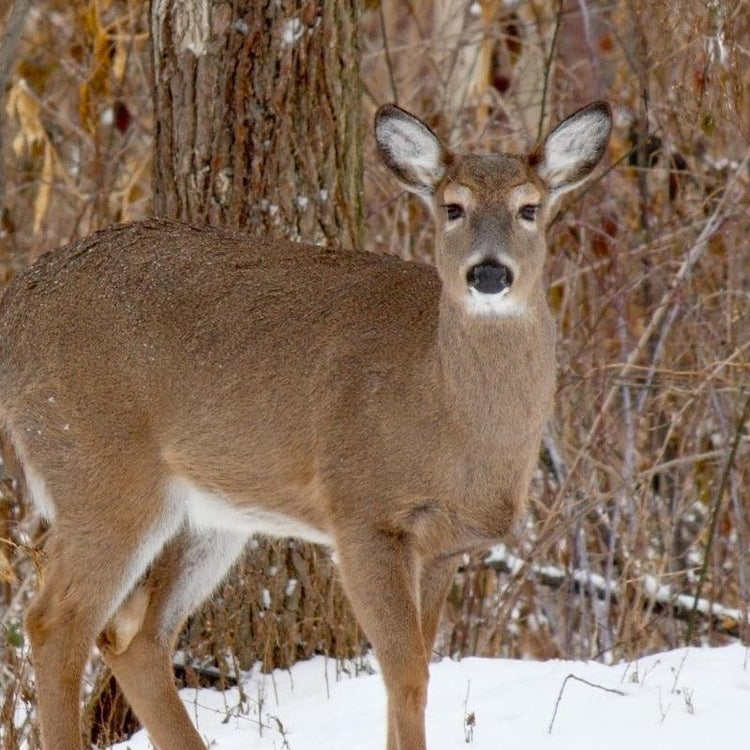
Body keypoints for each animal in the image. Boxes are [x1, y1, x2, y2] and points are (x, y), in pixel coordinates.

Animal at [0, 100, 611, 750]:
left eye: (529, 207)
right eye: (453, 207)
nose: (489, 274)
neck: (445, 408)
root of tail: (16, 307)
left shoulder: (447, 544)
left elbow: (414, 668)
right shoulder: (363, 511)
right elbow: (406, 672)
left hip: (210, 514)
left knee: (135, 638)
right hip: (97, 469)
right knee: (56, 623)